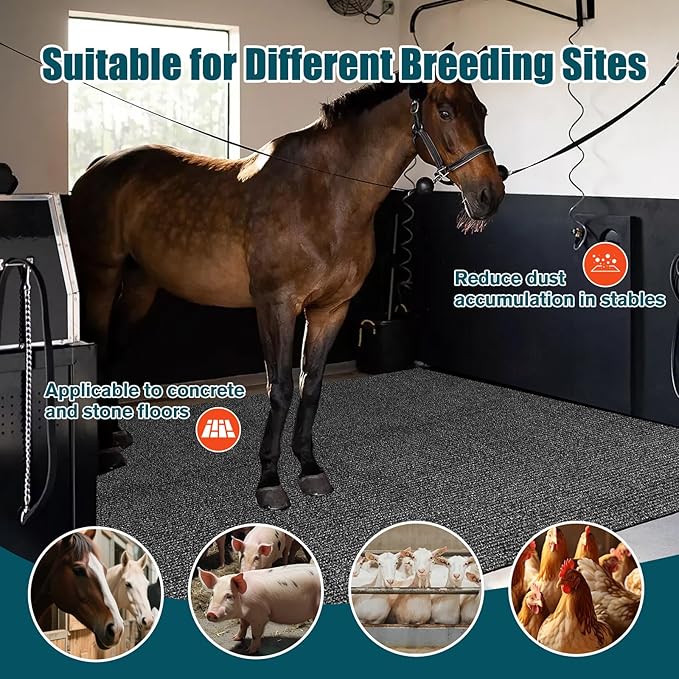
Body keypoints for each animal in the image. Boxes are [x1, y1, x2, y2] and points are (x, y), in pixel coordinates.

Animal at [68, 77, 505, 510]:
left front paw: (309, 467)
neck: (324, 196)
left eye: (482, 110)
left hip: (141, 284)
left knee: (114, 351)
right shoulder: (276, 306)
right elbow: (279, 388)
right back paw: (104, 450)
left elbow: (310, 385)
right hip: (101, 278)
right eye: (445, 111)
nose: (490, 194)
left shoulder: (331, 309)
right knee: (100, 347)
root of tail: (99, 165)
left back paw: (113, 434)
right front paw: (269, 480)